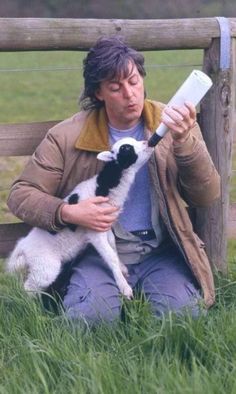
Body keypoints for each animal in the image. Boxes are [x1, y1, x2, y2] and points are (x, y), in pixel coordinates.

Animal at [6, 138, 154, 298]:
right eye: (126, 149)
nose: (147, 142)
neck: (103, 187)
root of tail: (23, 248)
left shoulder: (106, 227)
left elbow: (113, 247)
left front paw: (123, 269)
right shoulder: (95, 231)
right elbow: (110, 256)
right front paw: (125, 288)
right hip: (45, 266)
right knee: (29, 288)